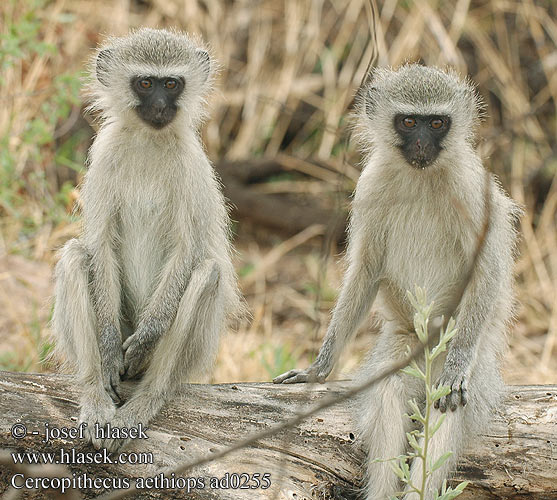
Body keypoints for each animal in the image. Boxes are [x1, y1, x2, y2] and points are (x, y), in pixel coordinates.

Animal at [52, 28, 241, 454]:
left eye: (170, 84)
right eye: (144, 83)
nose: (158, 107)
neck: (148, 141)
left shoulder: (190, 165)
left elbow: (186, 251)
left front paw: (145, 342)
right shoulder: (104, 156)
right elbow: (100, 244)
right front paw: (108, 352)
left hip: (194, 349)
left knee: (205, 272)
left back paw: (145, 401)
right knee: (75, 255)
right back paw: (94, 395)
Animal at [276, 64, 520, 498]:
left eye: (437, 123)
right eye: (409, 122)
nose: (422, 144)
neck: (421, 175)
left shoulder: (470, 187)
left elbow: (488, 267)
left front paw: (459, 364)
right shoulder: (371, 183)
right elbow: (366, 267)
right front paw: (318, 369)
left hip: (470, 359)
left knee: (447, 402)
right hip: (403, 345)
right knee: (389, 390)